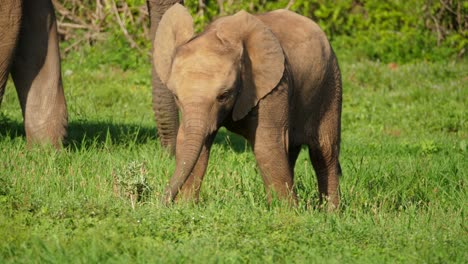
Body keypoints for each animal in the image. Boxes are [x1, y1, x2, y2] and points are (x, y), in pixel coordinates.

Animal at [155, 4, 342, 209]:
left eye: (224, 96)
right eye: (176, 96)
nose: (163, 203)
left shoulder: (274, 85)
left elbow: (266, 145)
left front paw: (286, 211)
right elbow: (191, 143)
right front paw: (186, 207)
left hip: (330, 84)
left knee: (324, 151)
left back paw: (331, 212)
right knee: (291, 149)